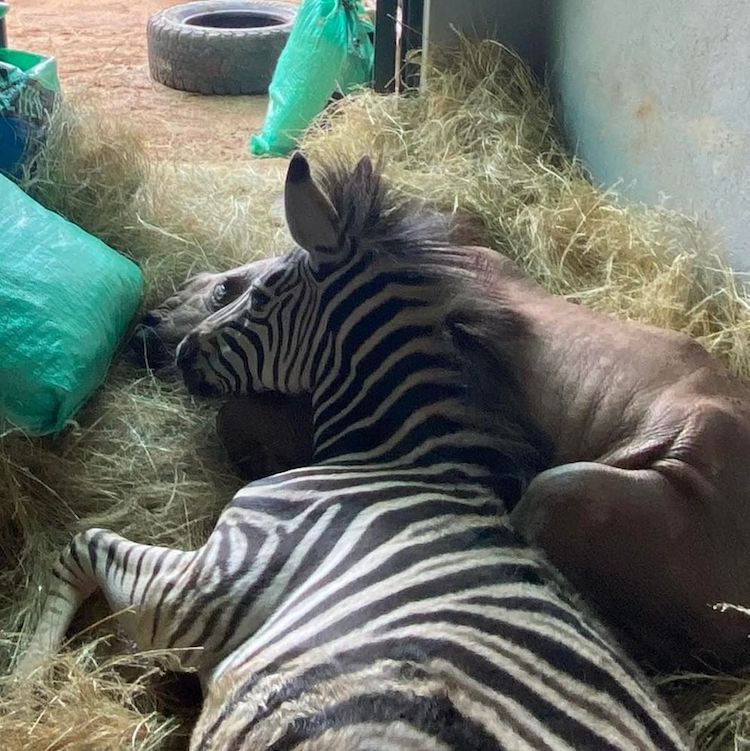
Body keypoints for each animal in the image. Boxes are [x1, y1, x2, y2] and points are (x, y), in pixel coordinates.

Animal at [14, 154, 692, 751]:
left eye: (253, 294)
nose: (173, 350)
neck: (398, 457)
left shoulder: (206, 586)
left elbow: (80, 546)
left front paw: (26, 672)